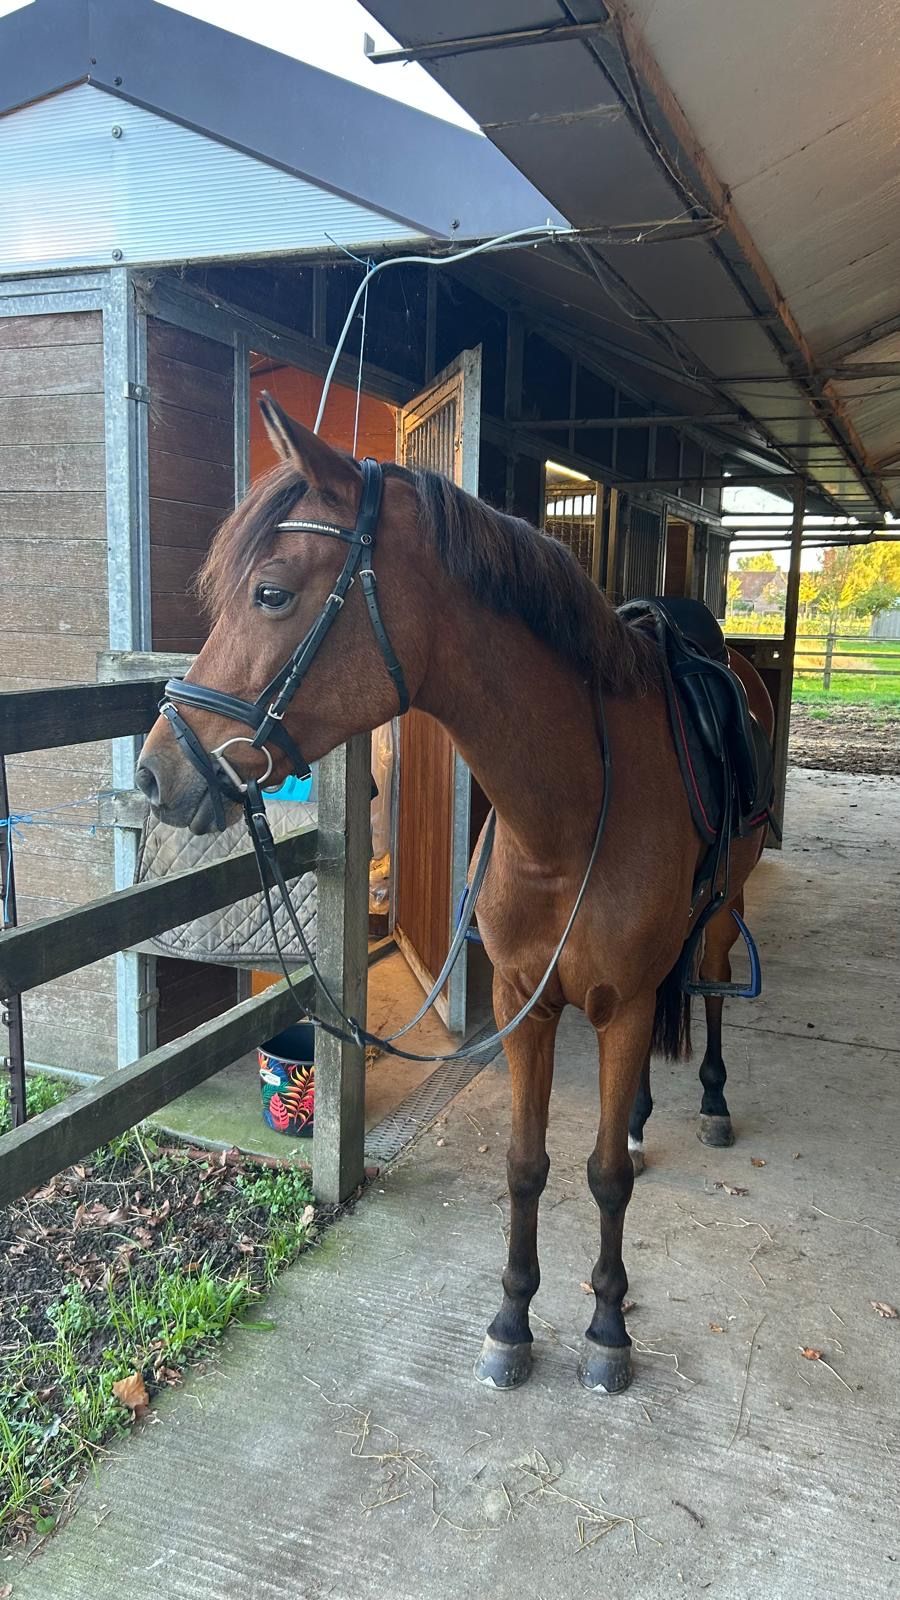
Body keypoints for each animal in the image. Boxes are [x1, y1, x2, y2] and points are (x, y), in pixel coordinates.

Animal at [136, 395, 774, 1396]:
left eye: (271, 593)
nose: (156, 774)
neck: (570, 817)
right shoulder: (524, 1003)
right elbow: (525, 1164)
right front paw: (512, 1320)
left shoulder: (622, 1005)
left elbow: (603, 1178)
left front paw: (606, 1329)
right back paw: (640, 1117)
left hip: (721, 912)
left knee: (707, 992)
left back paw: (708, 1102)